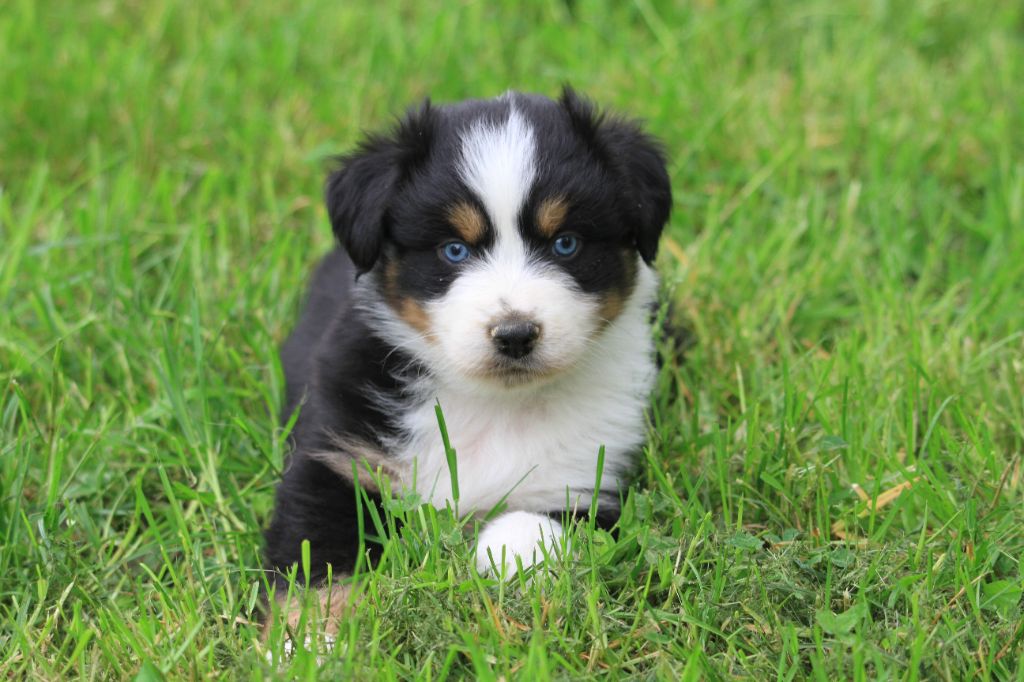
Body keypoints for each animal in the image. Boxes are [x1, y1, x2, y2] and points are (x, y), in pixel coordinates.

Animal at [262, 86, 671, 630]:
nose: (515, 335)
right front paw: (312, 639)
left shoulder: (589, 475)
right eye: (454, 250)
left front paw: (505, 554)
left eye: (566, 243)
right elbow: (320, 566)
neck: (493, 403)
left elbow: (530, 524)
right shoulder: (339, 458)